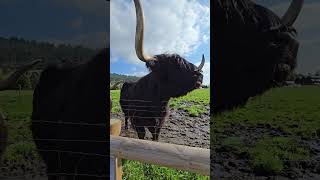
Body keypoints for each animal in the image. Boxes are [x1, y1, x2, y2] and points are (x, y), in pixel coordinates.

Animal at [119, 0, 205, 141]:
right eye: (175, 65)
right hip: (125, 110)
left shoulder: (159, 123)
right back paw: (126, 128)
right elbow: (141, 136)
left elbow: (156, 137)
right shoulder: (138, 122)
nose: (200, 76)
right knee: (126, 118)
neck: (157, 101)